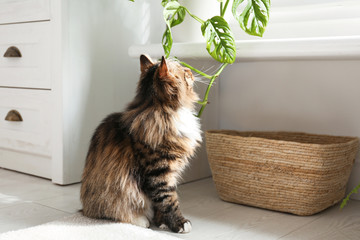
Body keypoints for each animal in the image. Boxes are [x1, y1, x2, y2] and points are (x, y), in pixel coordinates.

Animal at [80, 54, 201, 232]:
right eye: (184, 72)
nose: (191, 72)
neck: (160, 109)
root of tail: (84, 209)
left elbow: (160, 205)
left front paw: (162, 223)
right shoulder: (159, 173)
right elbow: (169, 200)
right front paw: (179, 224)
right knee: (116, 214)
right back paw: (142, 221)